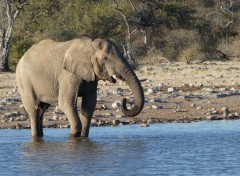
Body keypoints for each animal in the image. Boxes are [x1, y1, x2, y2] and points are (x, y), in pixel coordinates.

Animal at [16, 37, 144, 138]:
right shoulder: (67, 74)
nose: (124, 100)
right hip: (24, 80)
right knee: (34, 108)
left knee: (42, 109)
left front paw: (82, 137)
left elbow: (89, 104)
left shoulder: (91, 75)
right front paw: (73, 137)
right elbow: (66, 102)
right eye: (105, 58)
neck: (89, 45)